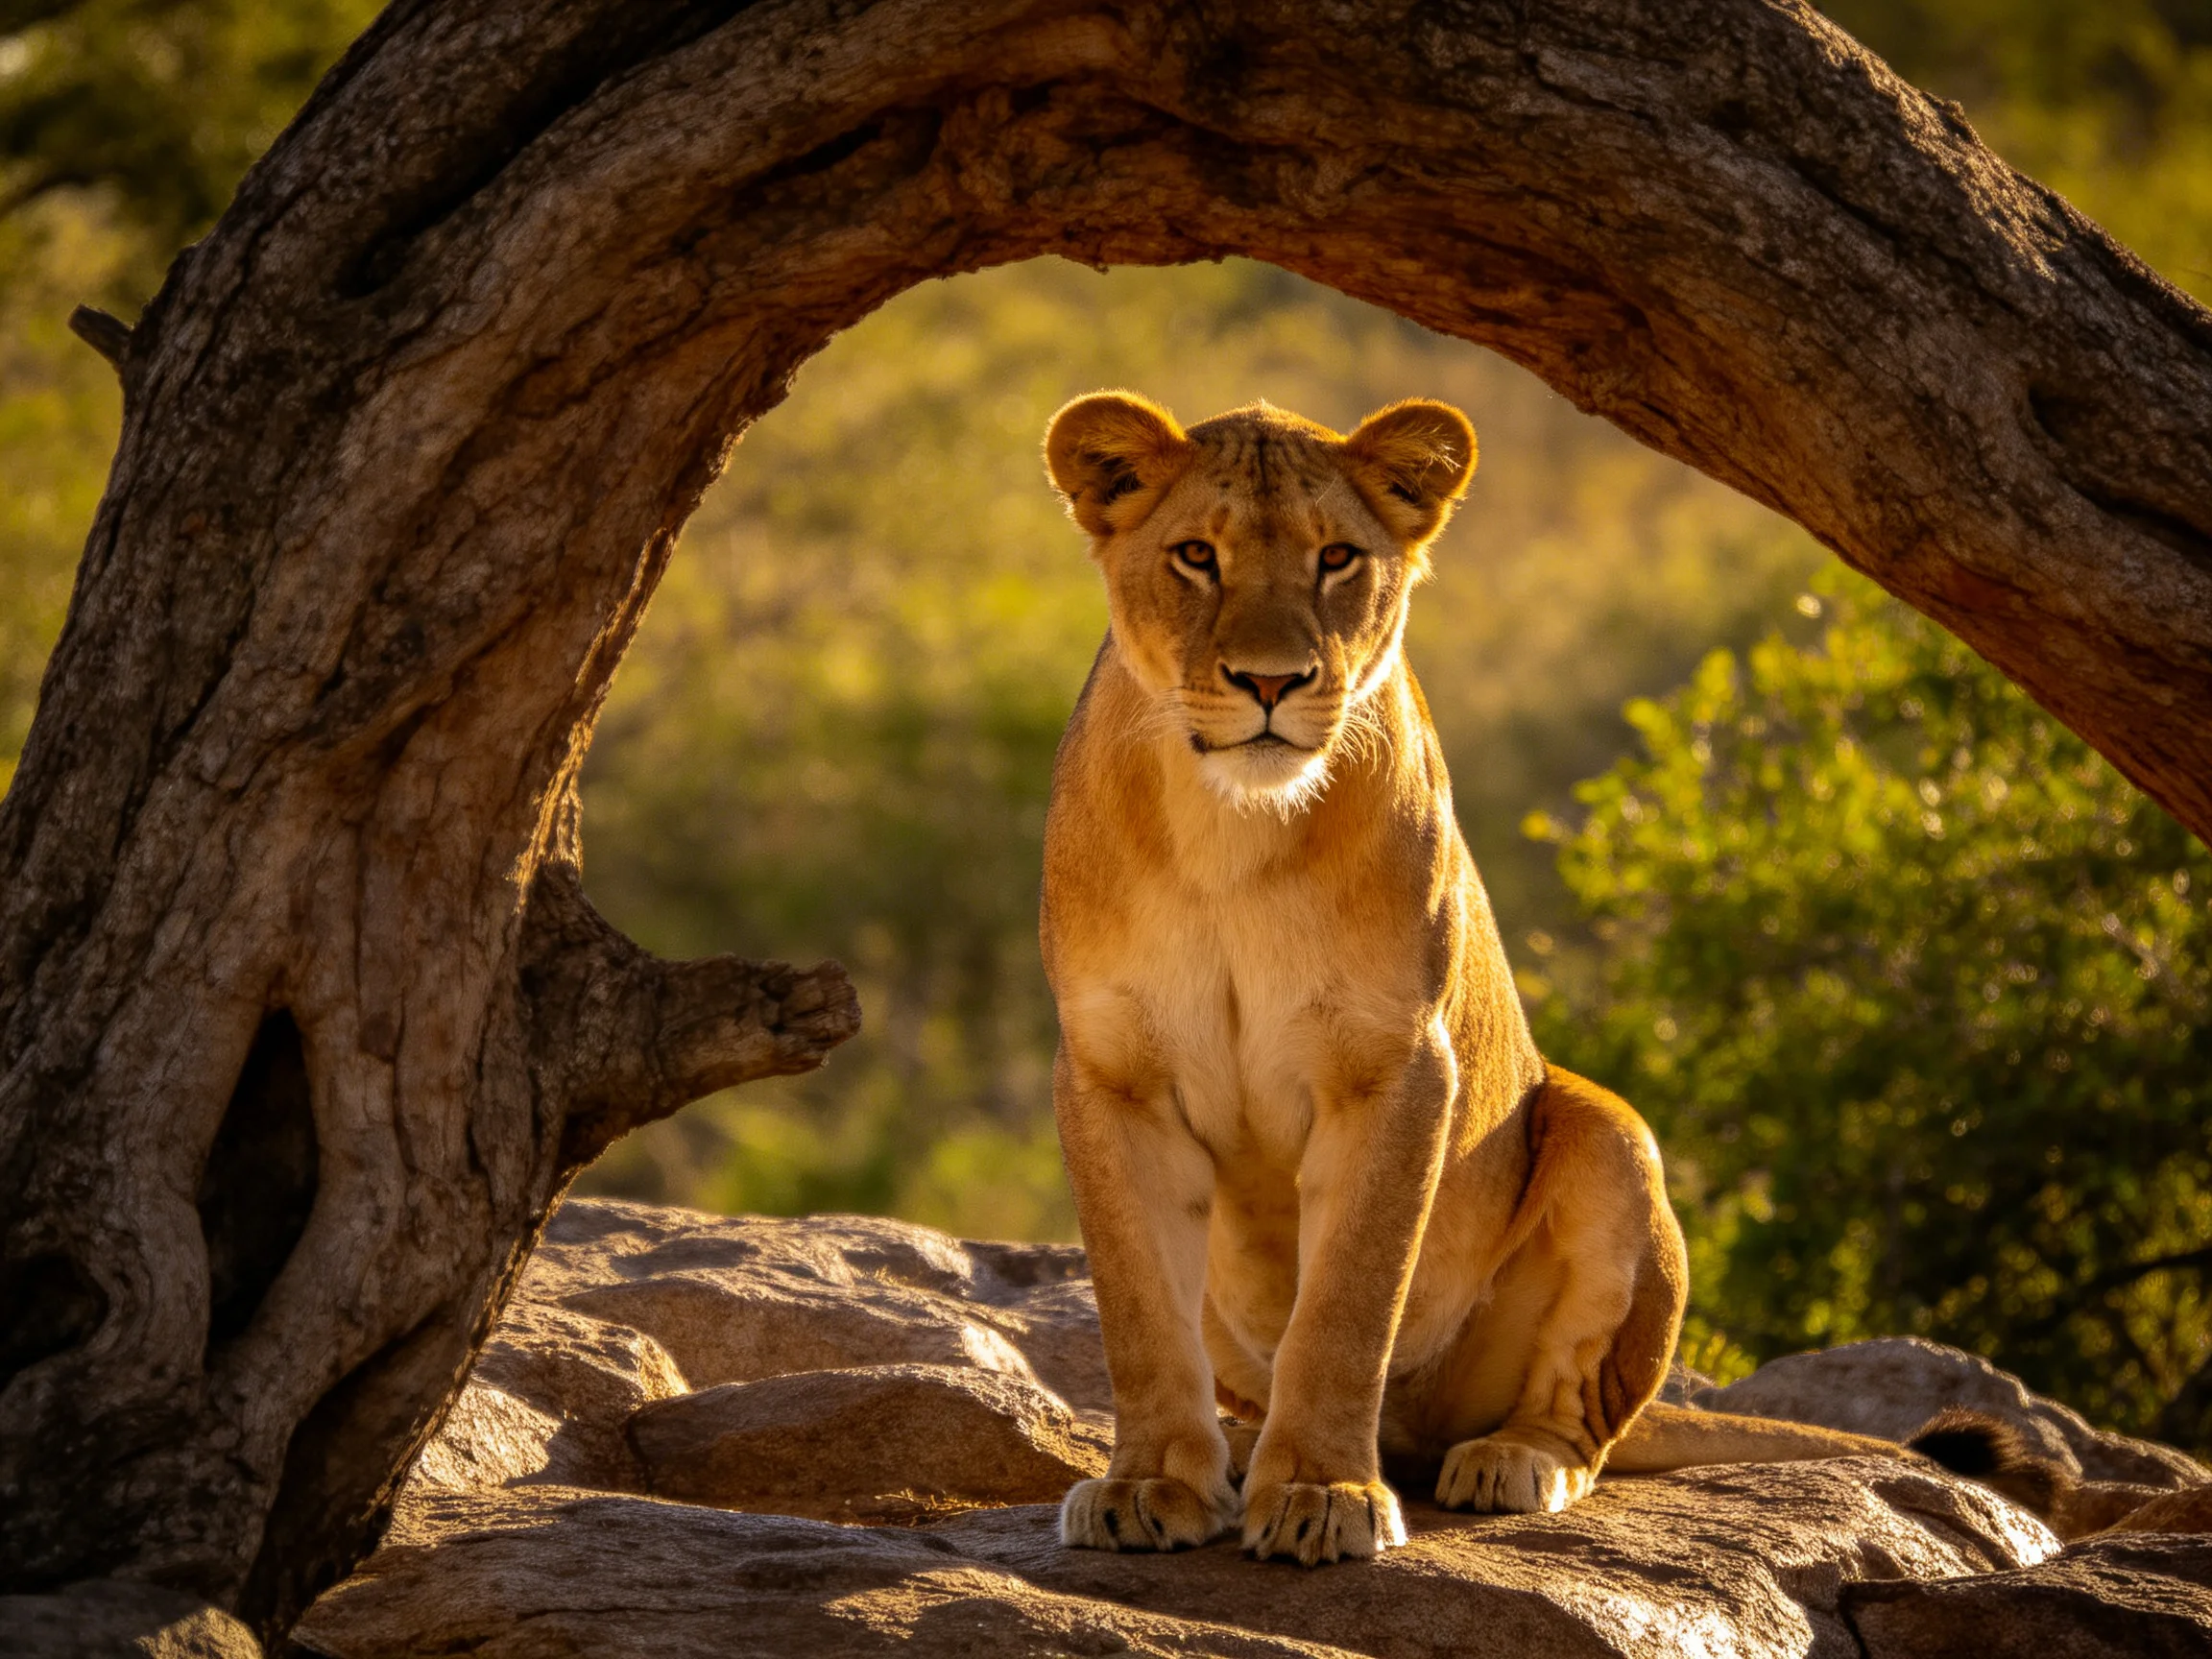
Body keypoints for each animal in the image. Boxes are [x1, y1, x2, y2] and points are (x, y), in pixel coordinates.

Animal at [1038, 390, 1900, 1566]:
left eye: (1337, 558)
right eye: (1197, 556)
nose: (1271, 683)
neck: (1232, 832)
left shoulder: (1396, 1063)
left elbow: (1347, 1303)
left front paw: (1321, 1492)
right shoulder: (1113, 1072)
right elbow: (1135, 1310)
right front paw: (1151, 1483)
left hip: (1608, 1135)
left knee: (1583, 1416)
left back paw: (1507, 1461)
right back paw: (1243, 1444)